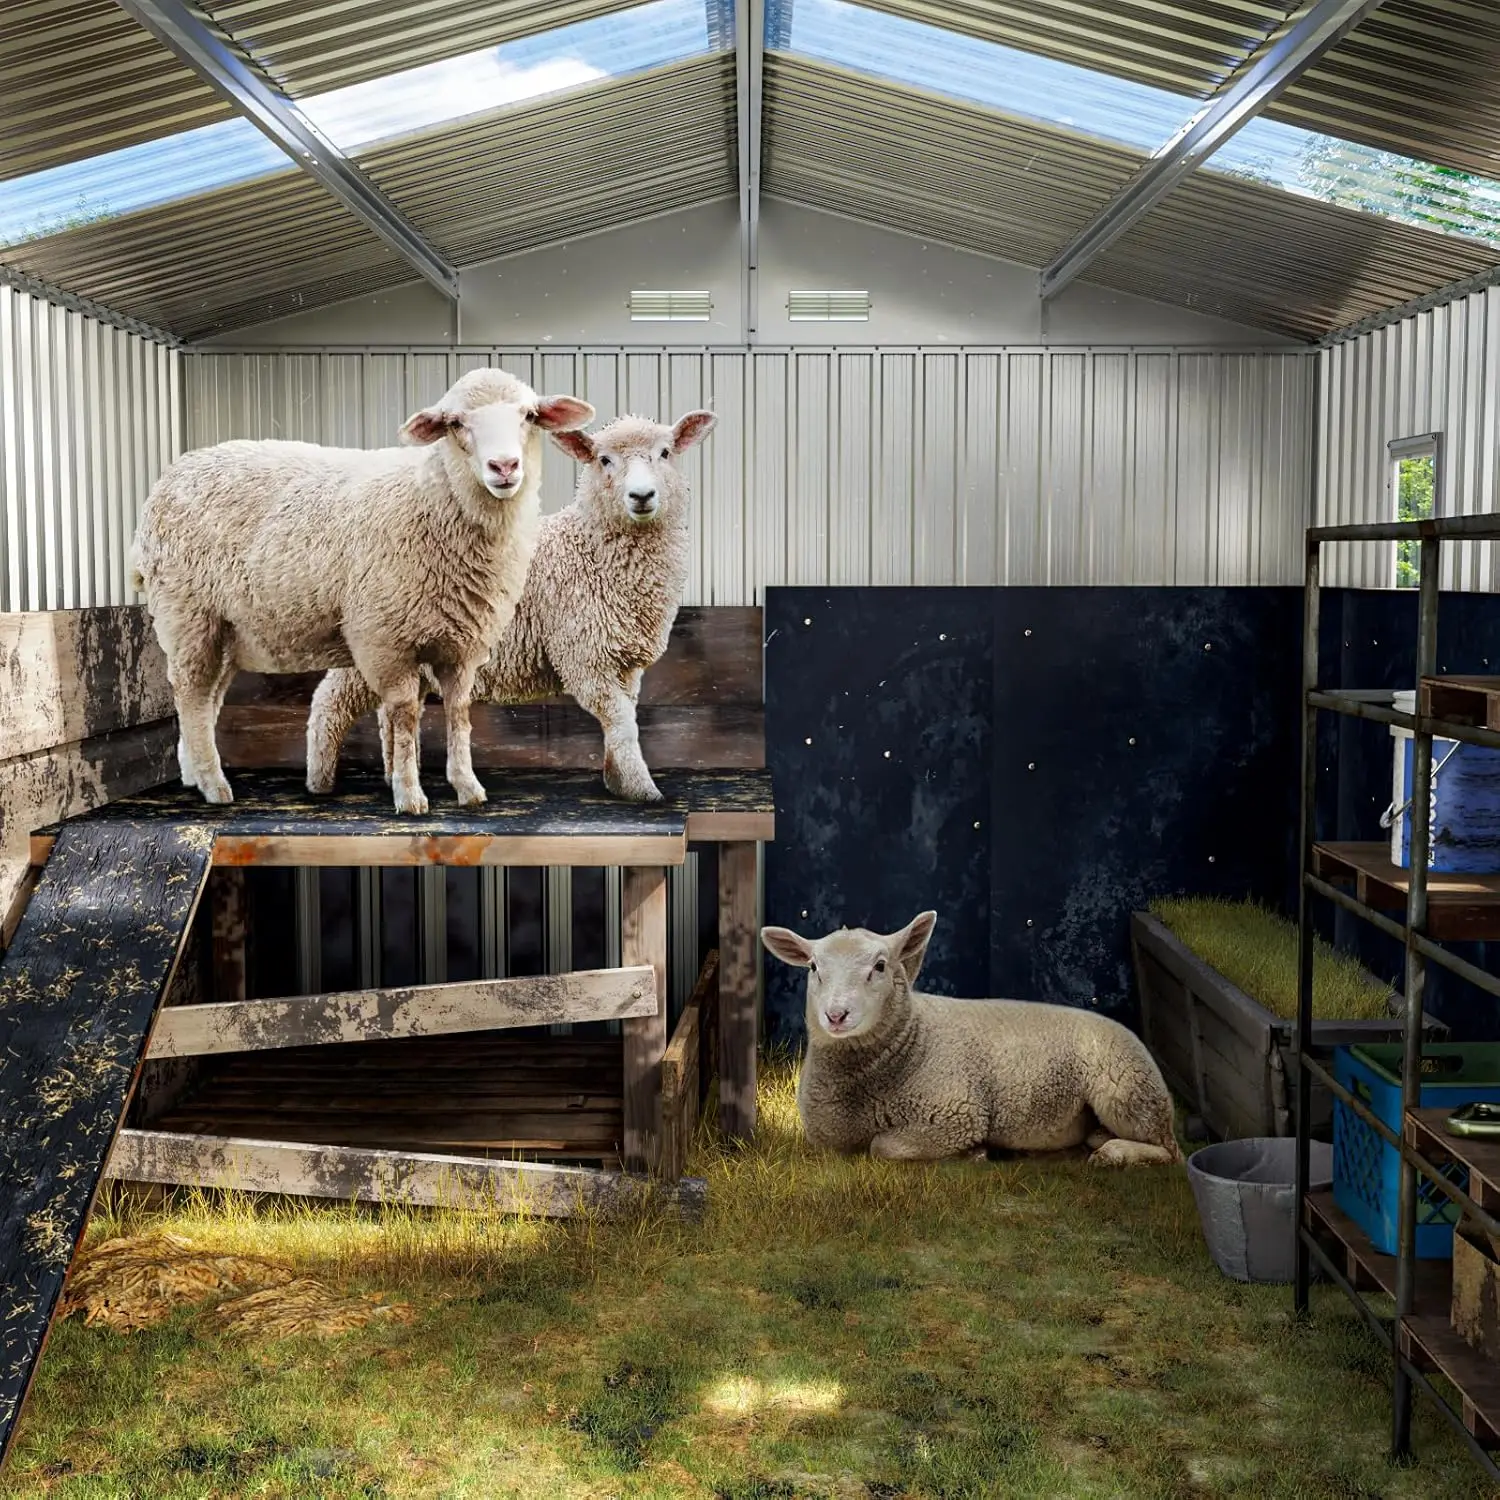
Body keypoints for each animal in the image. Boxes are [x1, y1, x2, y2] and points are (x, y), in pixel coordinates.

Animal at [132, 364, 591, 816]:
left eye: (529, 416)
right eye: (456, 423)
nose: (504, 467)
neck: (436, 498)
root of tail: (169, 477)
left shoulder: (464, 643)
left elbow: (459, 713)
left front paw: (468, 787)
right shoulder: (385, 637)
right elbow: (403, 715)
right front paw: (409, 795)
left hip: (226, 629)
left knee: (208, 697)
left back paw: (194, 775)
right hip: (187, 611)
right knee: (191, 695)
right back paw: (214, 785)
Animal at [303, 405, 714, 804]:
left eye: (666, 453)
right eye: (604, 460)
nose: (641, 496)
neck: (589, 548)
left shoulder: (625, 662)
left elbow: (623, 720)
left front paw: (617, 780)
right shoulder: (585, 655)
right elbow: (622, 722)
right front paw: (643, 788)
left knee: (393, 711)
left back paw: (395, 776)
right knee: (329, 701)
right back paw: (320, 781)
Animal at [762, 906, 1182, 1164]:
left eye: (880, 966)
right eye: (813, 967)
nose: (836, 1015)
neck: (912, 1044)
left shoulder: (957, 1116)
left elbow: (882, 1146)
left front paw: (975, 1154)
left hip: (1127, 1092)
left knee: (1170, 1149)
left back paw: (1114, 1155)